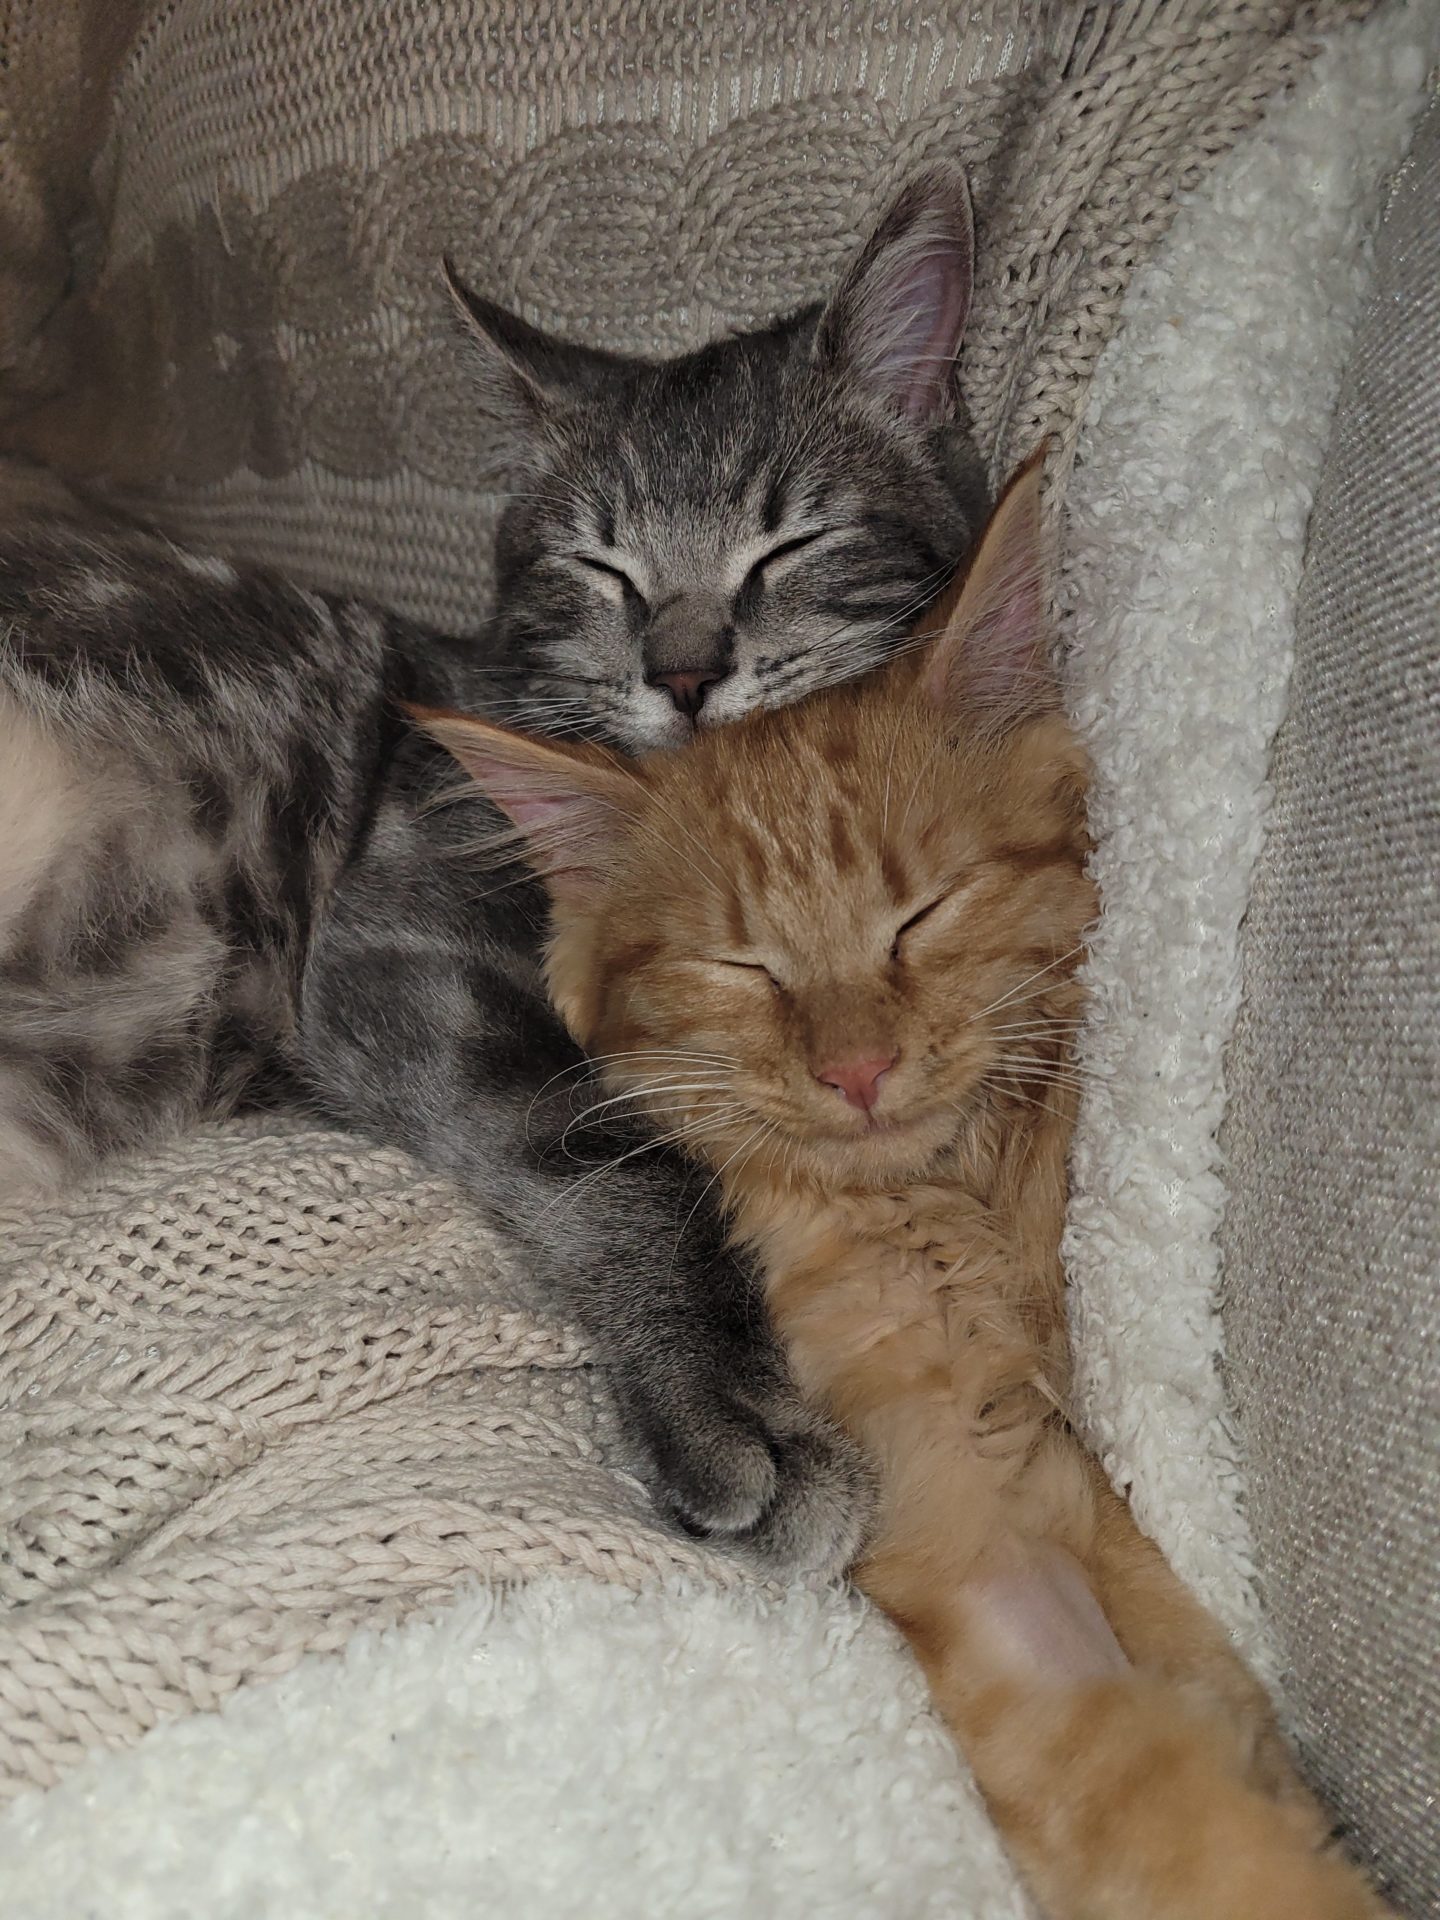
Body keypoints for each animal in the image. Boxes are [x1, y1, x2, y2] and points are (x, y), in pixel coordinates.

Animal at [0, 169, 987, 1580]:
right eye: (600, 566)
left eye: (788, 544)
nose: (684, 672)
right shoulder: (409, 933)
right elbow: (608, 1145)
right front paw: (737, 1404)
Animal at [417, 456, 1396, 1920]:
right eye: (745, 969)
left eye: (920, 915)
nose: (860, 1067)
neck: (942, 1217)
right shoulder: (983, 1573)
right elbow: (1175, 1807)